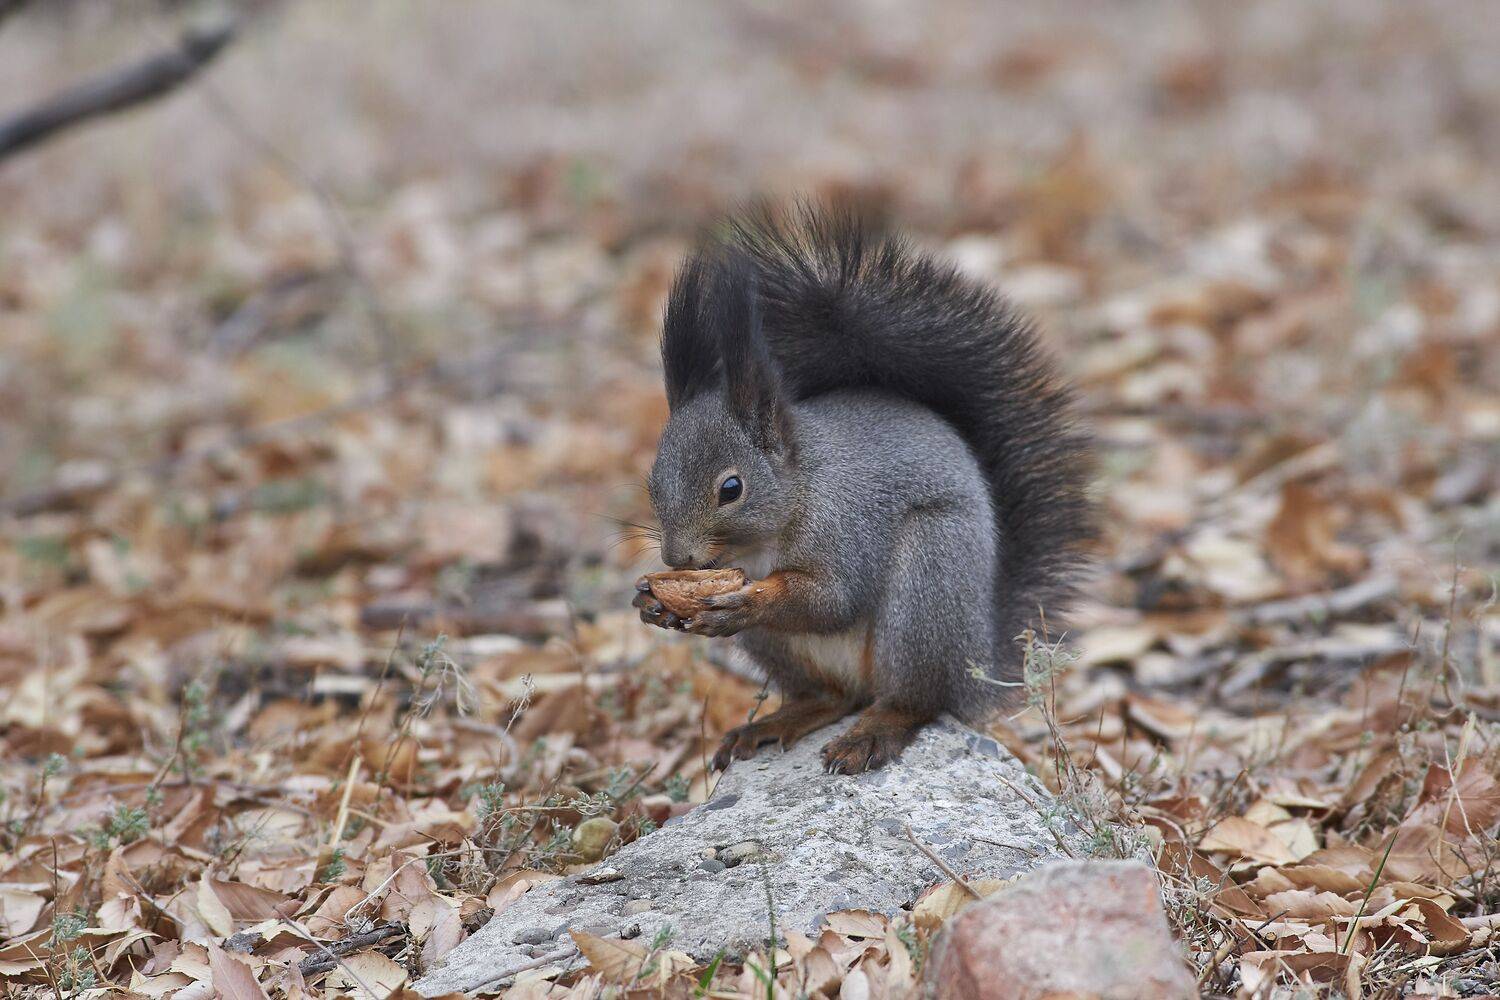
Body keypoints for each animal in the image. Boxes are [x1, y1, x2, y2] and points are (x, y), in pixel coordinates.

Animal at [632, 204, 1096, 774]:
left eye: (732, 488)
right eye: (653, 482)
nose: (676, 559)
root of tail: (976, 657)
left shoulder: (848, 525)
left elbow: (835, 598)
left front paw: (749, 601)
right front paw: (650, 602)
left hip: (926, 585)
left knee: (913, 700)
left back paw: (873, 733)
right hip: (787, 651)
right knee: (833, 697)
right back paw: (774, 723)